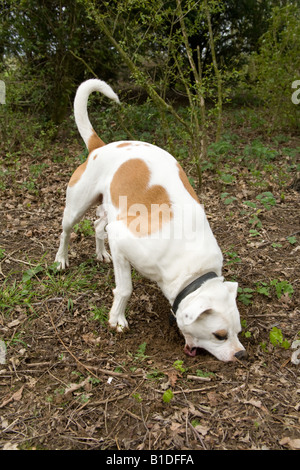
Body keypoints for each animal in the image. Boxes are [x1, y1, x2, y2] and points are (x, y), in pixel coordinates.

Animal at [55, 80, 246, 364]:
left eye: (238, 331)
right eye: (219, 335)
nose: (241, 354)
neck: (194, 271)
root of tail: (100, 146)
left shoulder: (118, 231)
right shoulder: (122, 241)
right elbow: (125, 289)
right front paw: (117, 319)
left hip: (111, 209)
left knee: (98, 227)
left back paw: (101, 253)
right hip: (76, 207)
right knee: (66, 233)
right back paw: (61, 259)